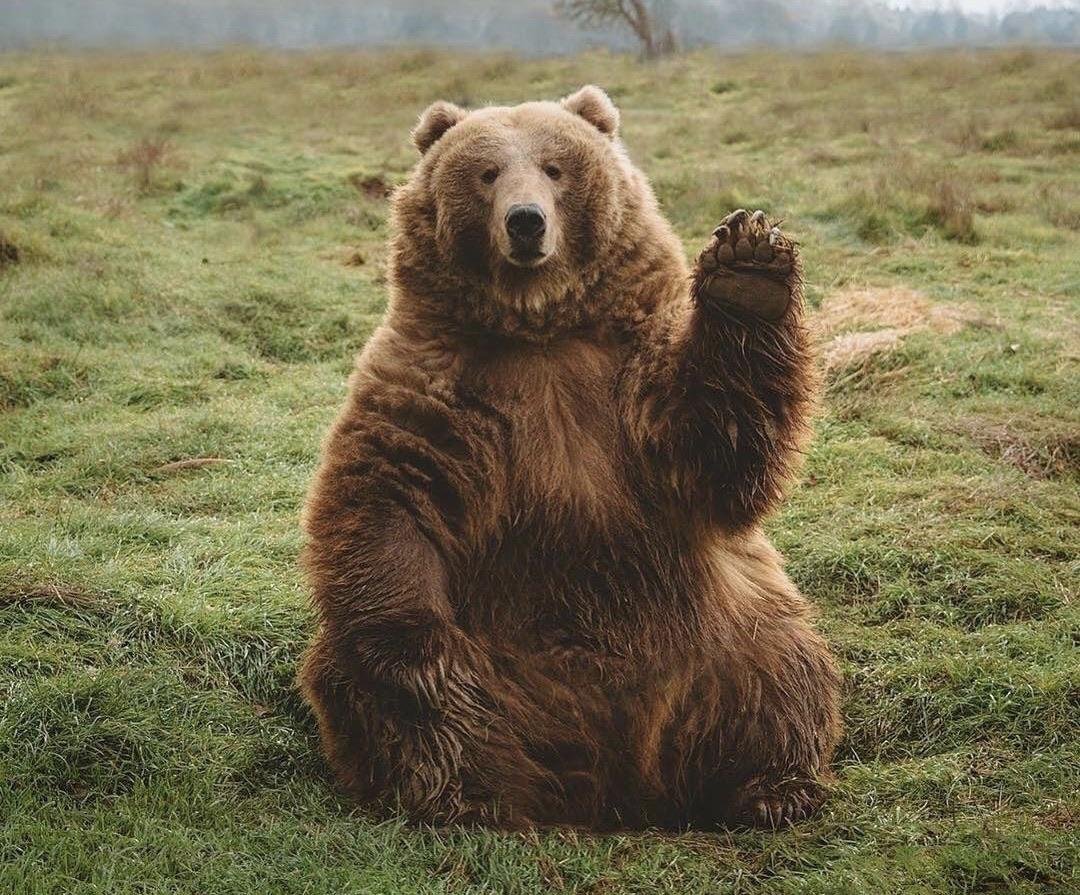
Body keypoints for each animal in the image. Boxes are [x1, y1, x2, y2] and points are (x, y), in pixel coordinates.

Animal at [298, 85, 841, 831]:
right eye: (487, 172)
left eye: (555, 168)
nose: (526, 222)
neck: (540, 328)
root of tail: (612, 780)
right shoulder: (434, 385)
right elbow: (386, 496)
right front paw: (419, 653)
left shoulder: (630, 381)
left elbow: (718, 444)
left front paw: (748, 267)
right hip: (503, 662)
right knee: (389, 701)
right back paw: (465, 794)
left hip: (716, 635)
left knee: (776, 671)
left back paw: (770, 787)